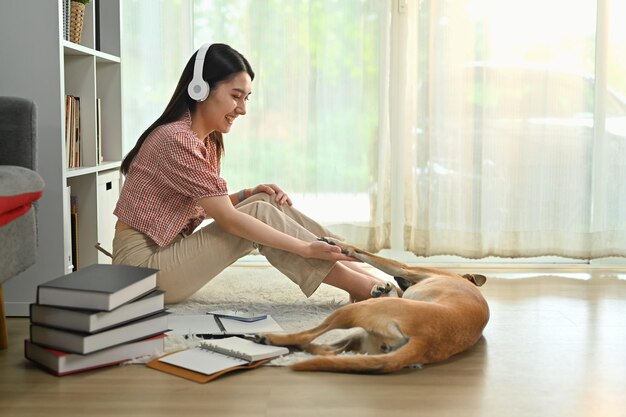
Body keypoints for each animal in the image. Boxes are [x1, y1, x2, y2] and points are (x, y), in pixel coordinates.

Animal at [256, 237, 490, 374]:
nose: (394, 281)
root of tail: (424, 341)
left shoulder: (404, 269)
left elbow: (363, 252)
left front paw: (338, 243)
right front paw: (382, 286)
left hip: (356, 310)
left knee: (308, 336)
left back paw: (270, 338)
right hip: (362, 335)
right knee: (329, 350)